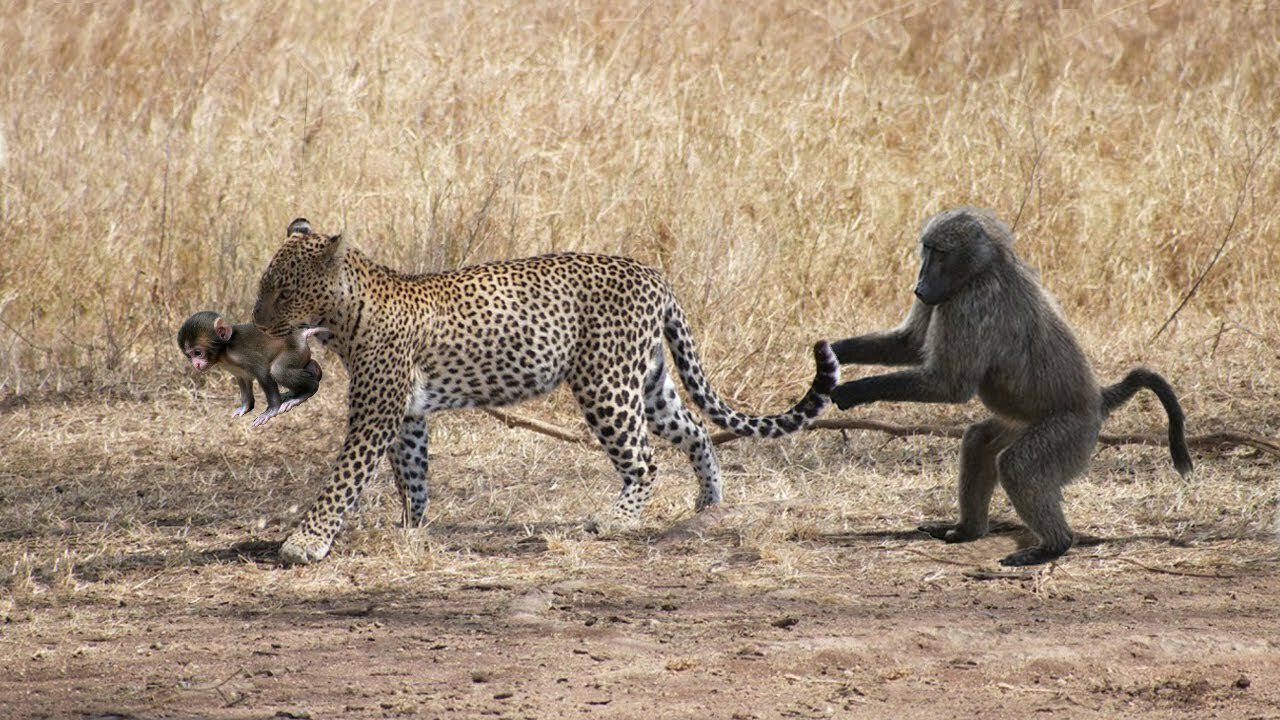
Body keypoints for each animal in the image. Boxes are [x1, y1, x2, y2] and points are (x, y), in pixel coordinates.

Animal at [177, 310, 327, 425]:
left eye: (198, 353)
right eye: (189, 356)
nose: (195, 364)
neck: (224, 350)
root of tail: (299, 334)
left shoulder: (241, 353)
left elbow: (263, 372)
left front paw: (271, 410)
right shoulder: (237, 369)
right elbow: (243, 379)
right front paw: (245, 407)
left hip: (295, 349)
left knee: (278, 371)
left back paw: (306, 392)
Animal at [254, 215, 844, 563]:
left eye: (280, 290)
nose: (256, 322)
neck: (343, 319)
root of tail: (655, 275)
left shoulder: (376, 413)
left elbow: (343, 479)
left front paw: (305, 542)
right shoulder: (406, 414)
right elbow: (412, 474)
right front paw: (411, 528)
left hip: (606, 384)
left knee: (644, 460)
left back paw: (614, 519)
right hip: (650, 382)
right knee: (695, 429)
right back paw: (708, 504)